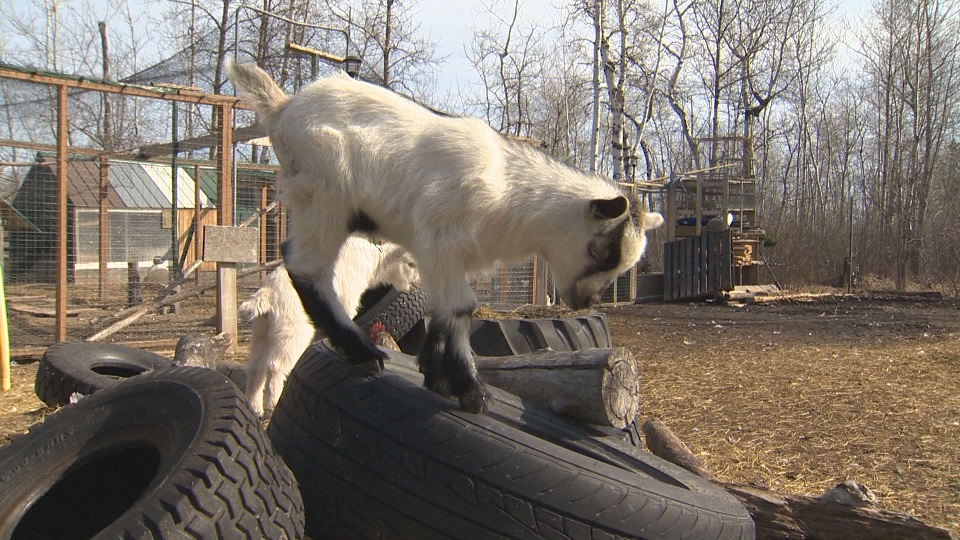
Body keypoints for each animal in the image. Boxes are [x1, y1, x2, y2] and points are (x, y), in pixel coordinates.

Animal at [239, 237, 419, 416]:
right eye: (411, 264)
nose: (417, 284)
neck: (371, 260)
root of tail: (267, 294)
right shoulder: (346, 296)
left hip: (262, 327)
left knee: (256, 365)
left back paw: (254, 406)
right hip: (292, 326)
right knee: (276, 364)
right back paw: (273, 403)